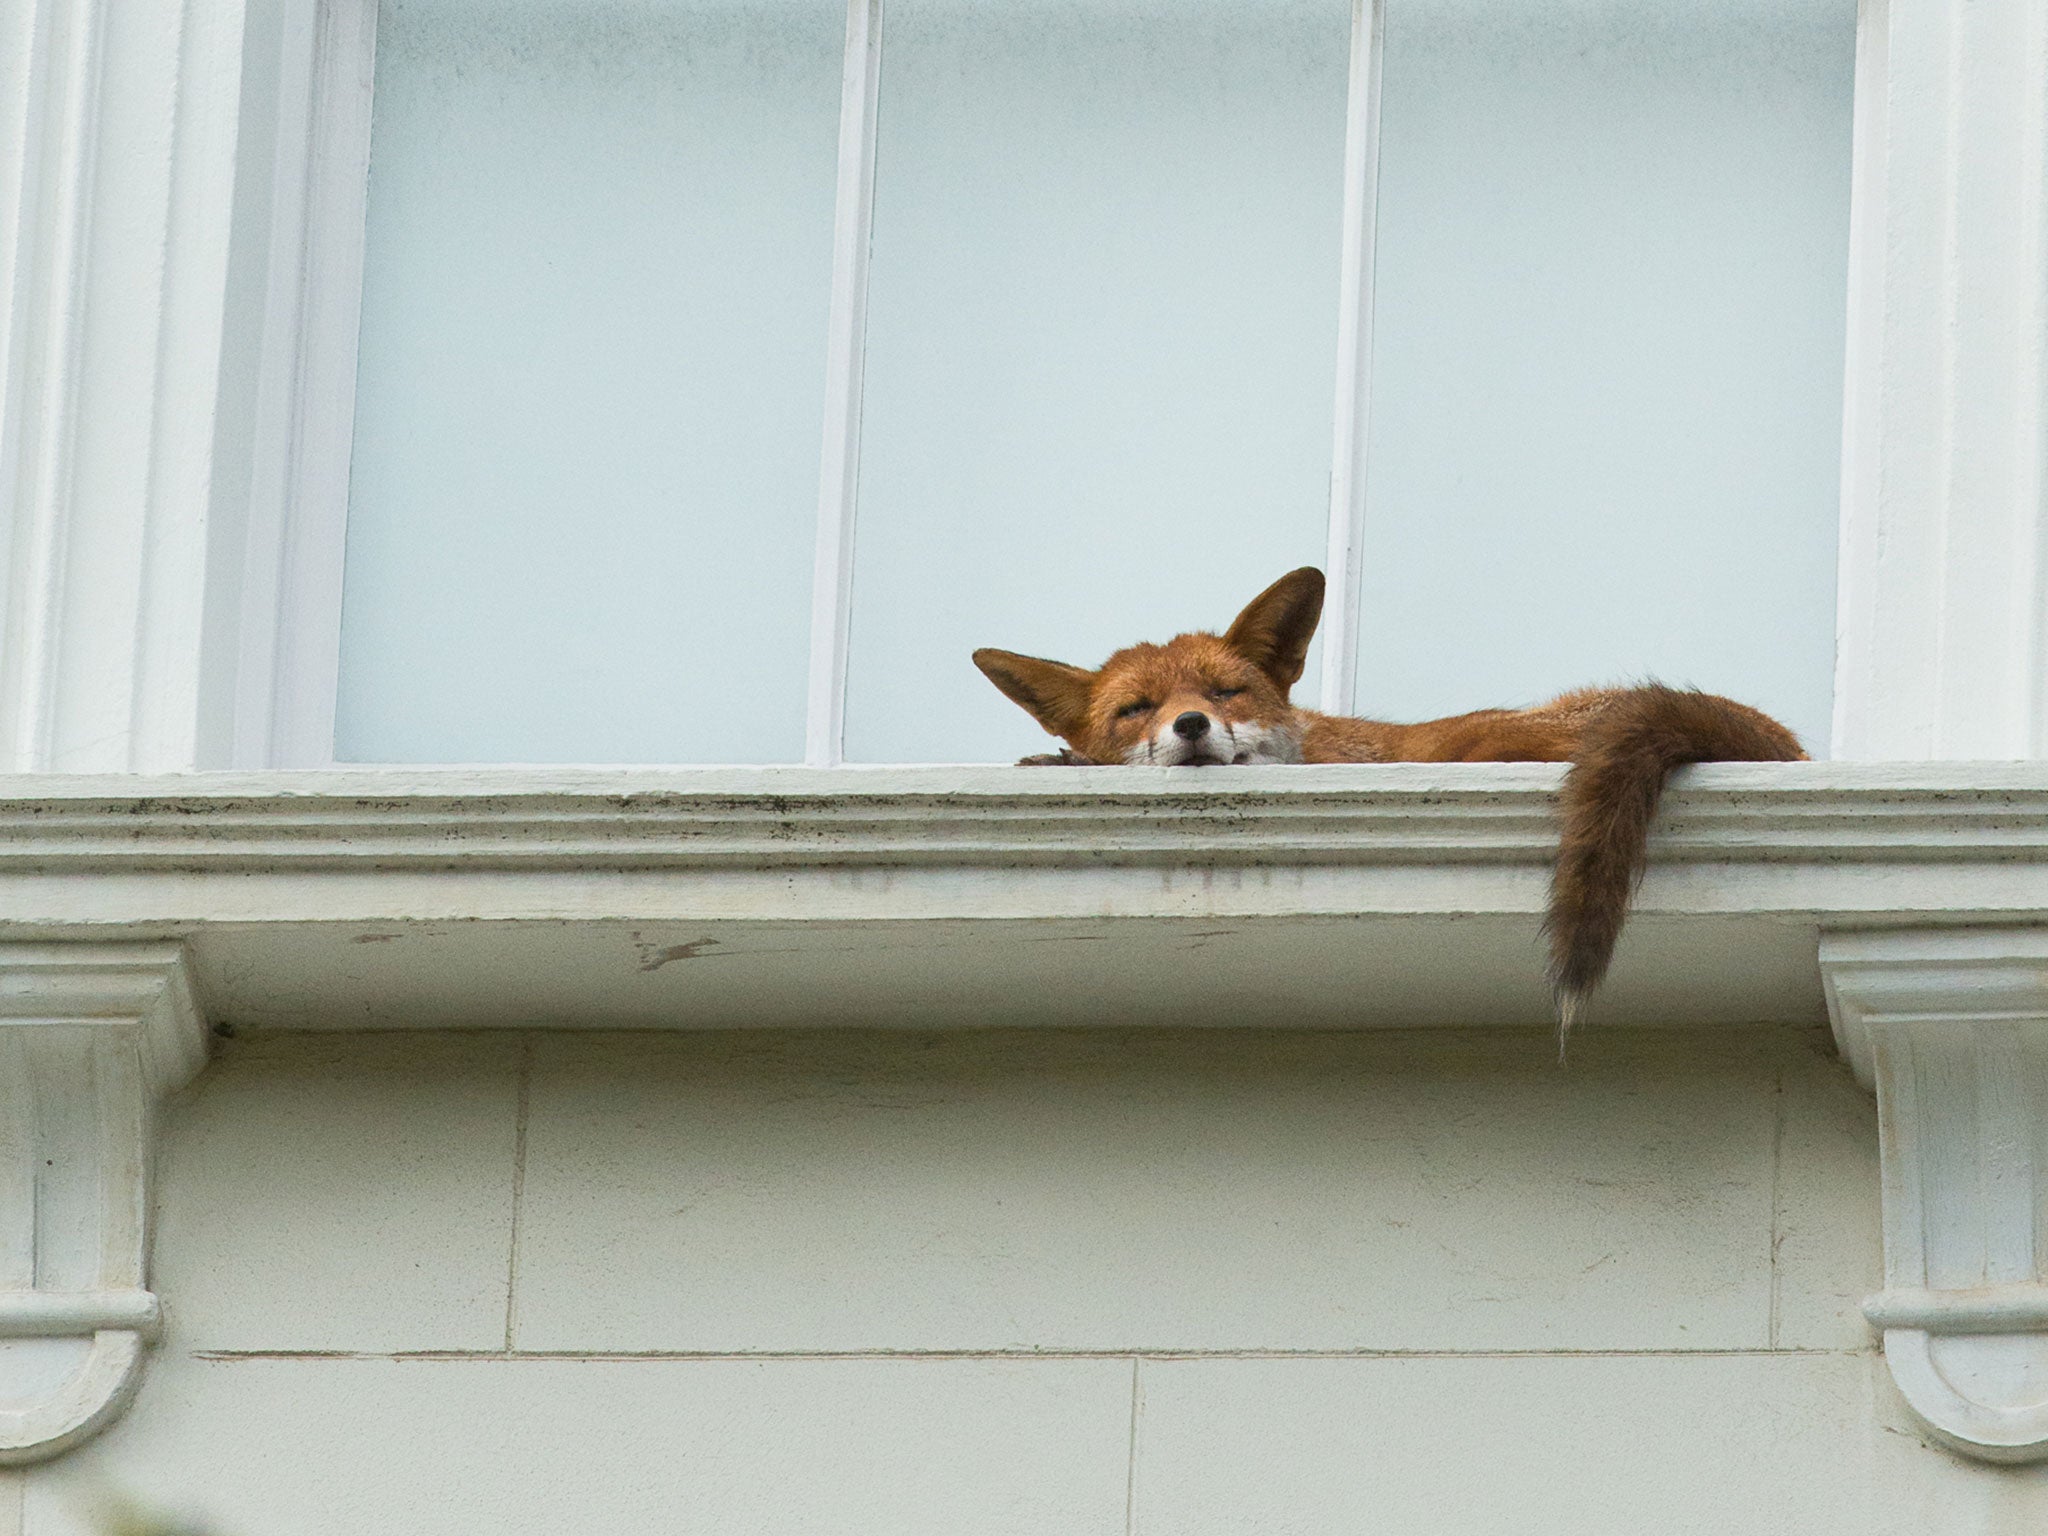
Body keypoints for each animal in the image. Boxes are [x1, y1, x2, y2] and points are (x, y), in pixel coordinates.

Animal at [966, 565, 1802, 1048]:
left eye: (1227, 691)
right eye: (1136, 709)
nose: (1193, 726)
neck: (1314, 748)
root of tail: (1778, 737)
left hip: (1486, 741)